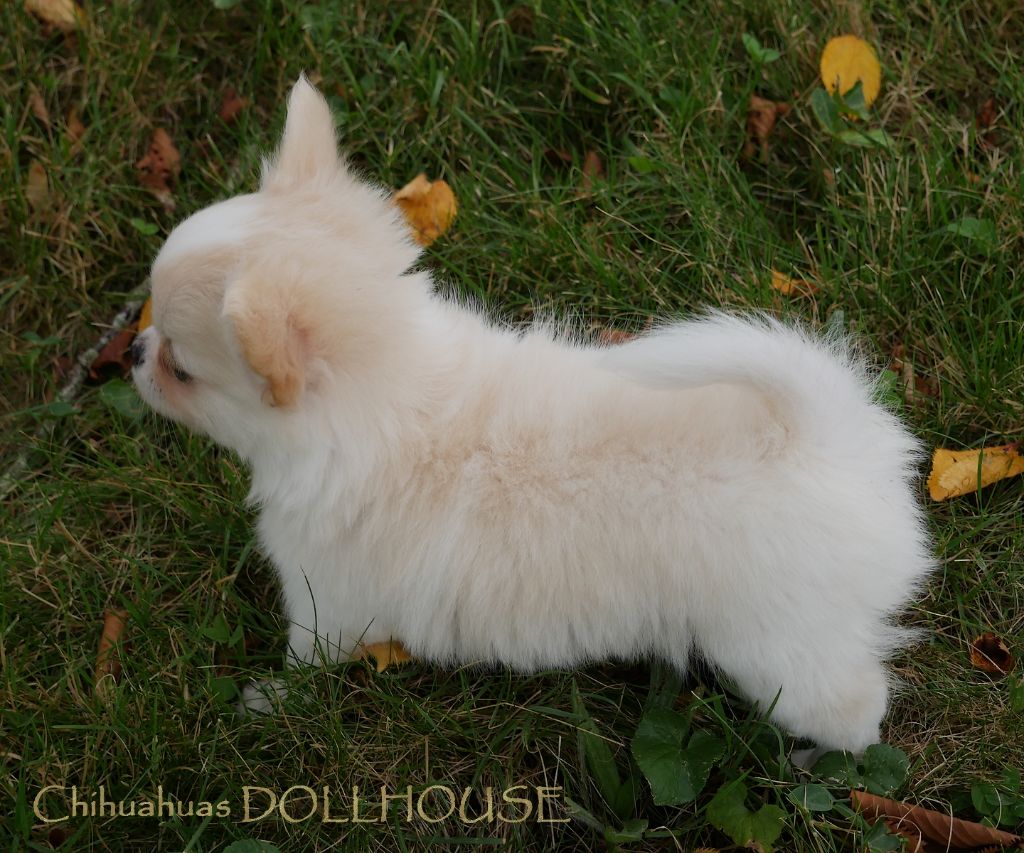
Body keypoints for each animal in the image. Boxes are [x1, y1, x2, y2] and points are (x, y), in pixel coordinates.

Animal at [131, 75, 934, 753]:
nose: (134, 350)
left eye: (182, 368)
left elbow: (307, 664)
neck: (388, 396)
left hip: (779, 651)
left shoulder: (326, 603)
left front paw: (267, 702)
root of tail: (823, 439)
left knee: (853, 706)